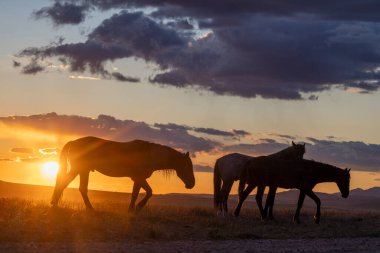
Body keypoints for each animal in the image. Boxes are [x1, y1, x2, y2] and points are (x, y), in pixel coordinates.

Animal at [50, 136, 196, 211]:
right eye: (187, 166)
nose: (192, 184)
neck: (148, 154)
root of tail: (73, 142)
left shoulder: (137, 179)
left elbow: (135, 194)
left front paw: (132, 209)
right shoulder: (139, 177)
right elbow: (149, 192)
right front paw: (138, 207)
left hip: (82, 171)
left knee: (79, 188)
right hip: (79, 170)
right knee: (67, 184)